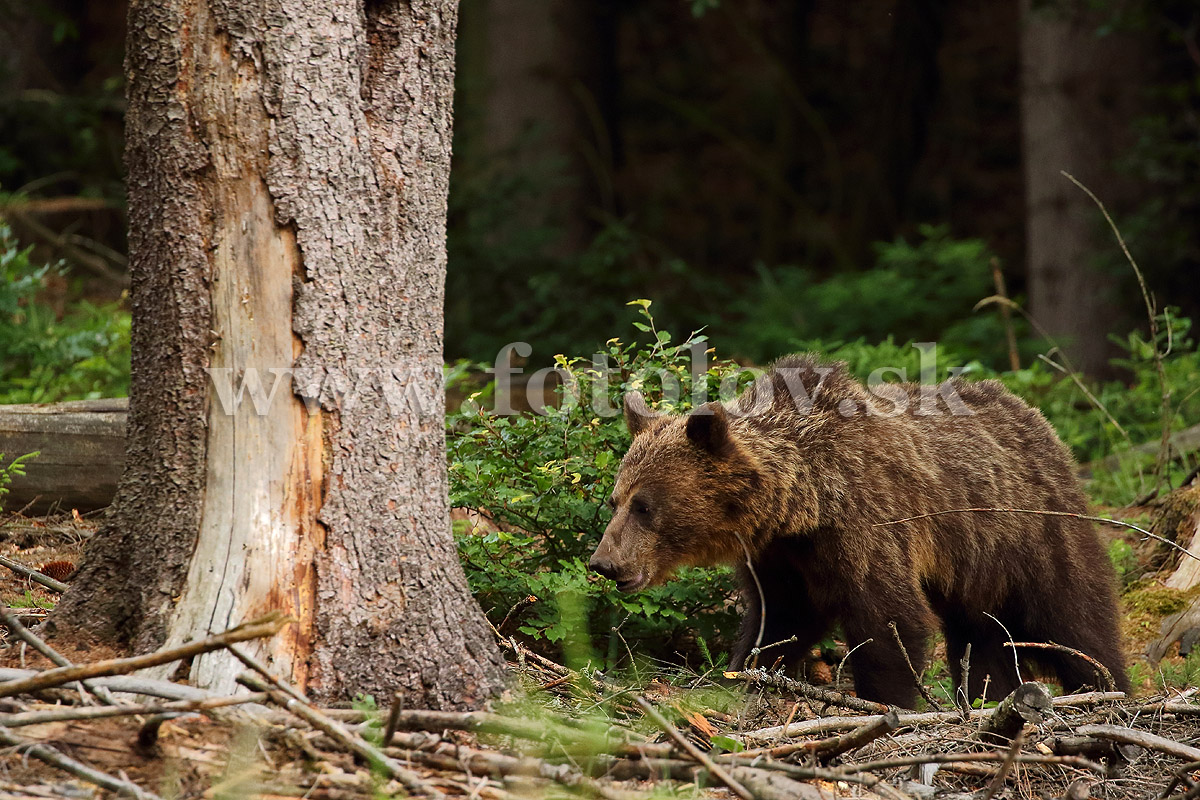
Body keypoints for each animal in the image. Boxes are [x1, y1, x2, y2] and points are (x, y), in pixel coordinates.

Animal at [595, 357, 1128, 705]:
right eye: (617, 500)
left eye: (645, 506)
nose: (604, 562)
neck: (804, 500)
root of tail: (1035, 418)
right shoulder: (780, 555)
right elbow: (779, 620)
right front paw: (742, 673)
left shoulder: (866, 523)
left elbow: (889, 620)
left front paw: (884, 703)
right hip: (976, 567)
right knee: (982, 638)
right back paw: (986, 699)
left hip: (1033, 534)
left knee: (1076, 620)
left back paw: (1108, 693)